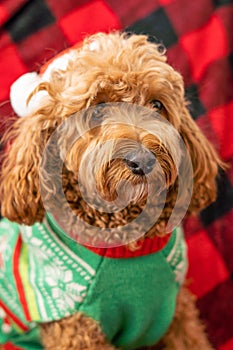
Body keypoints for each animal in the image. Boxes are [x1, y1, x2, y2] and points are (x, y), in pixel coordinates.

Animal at [0, 32, 222, 350]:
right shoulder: (77, 330)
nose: (143, 159)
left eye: (157, 105)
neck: (123, 242)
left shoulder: (176, 312)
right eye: (99, 108)